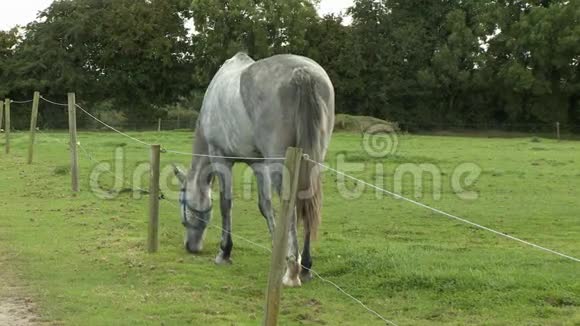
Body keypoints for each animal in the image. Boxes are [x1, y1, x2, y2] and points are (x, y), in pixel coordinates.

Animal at [172, 52, 336, 286]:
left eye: (182, 201)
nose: (190, 247)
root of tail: (302, 73)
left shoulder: (221, 158)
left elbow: (225, 204)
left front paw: (224, 252)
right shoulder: (259, 164)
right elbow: (265, 206)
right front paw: (278, 250)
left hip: (281, 163)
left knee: (292, 208)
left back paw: (292, 272)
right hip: (312, 162)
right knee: (307, 205)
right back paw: (304, 267)